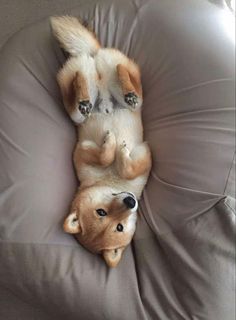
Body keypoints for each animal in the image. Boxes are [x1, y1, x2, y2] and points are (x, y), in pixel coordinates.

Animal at [50, 16, 152, 268]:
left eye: (119, 226)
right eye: (102, 214)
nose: (130, 201)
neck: (110, 181)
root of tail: (94, 58)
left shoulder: (144, 156)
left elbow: (127, 167)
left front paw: (117, 147)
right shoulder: (81, 151)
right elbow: (107, 156)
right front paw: (114, 146)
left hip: (120, 75)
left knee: (131, 83)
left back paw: (121, 89)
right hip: (76, 104)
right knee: (75, 98)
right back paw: (83, 96)